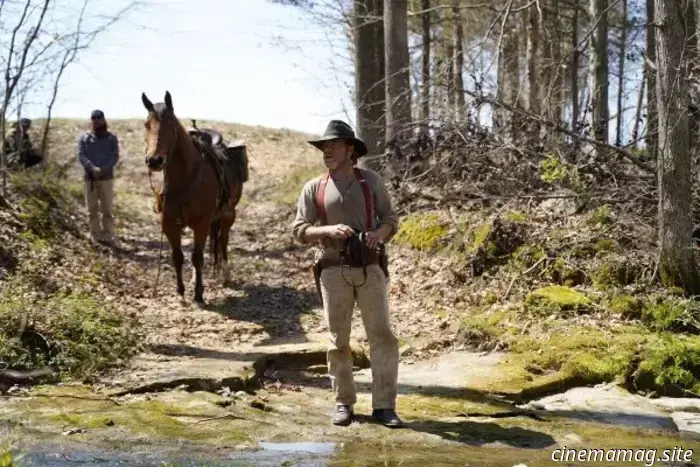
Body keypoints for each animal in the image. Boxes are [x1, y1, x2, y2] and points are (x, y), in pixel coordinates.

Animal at [139, 90, 246, 308]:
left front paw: (198, 296)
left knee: (223, 242)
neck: (185, 178)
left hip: (228, 215)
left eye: (171, 122)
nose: (154, 160)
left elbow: (197, 257)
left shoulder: (201, 223)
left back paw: (225, 276)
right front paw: (181, 292)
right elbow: (178, 257)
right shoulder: (169, 224)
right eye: (147, 124)